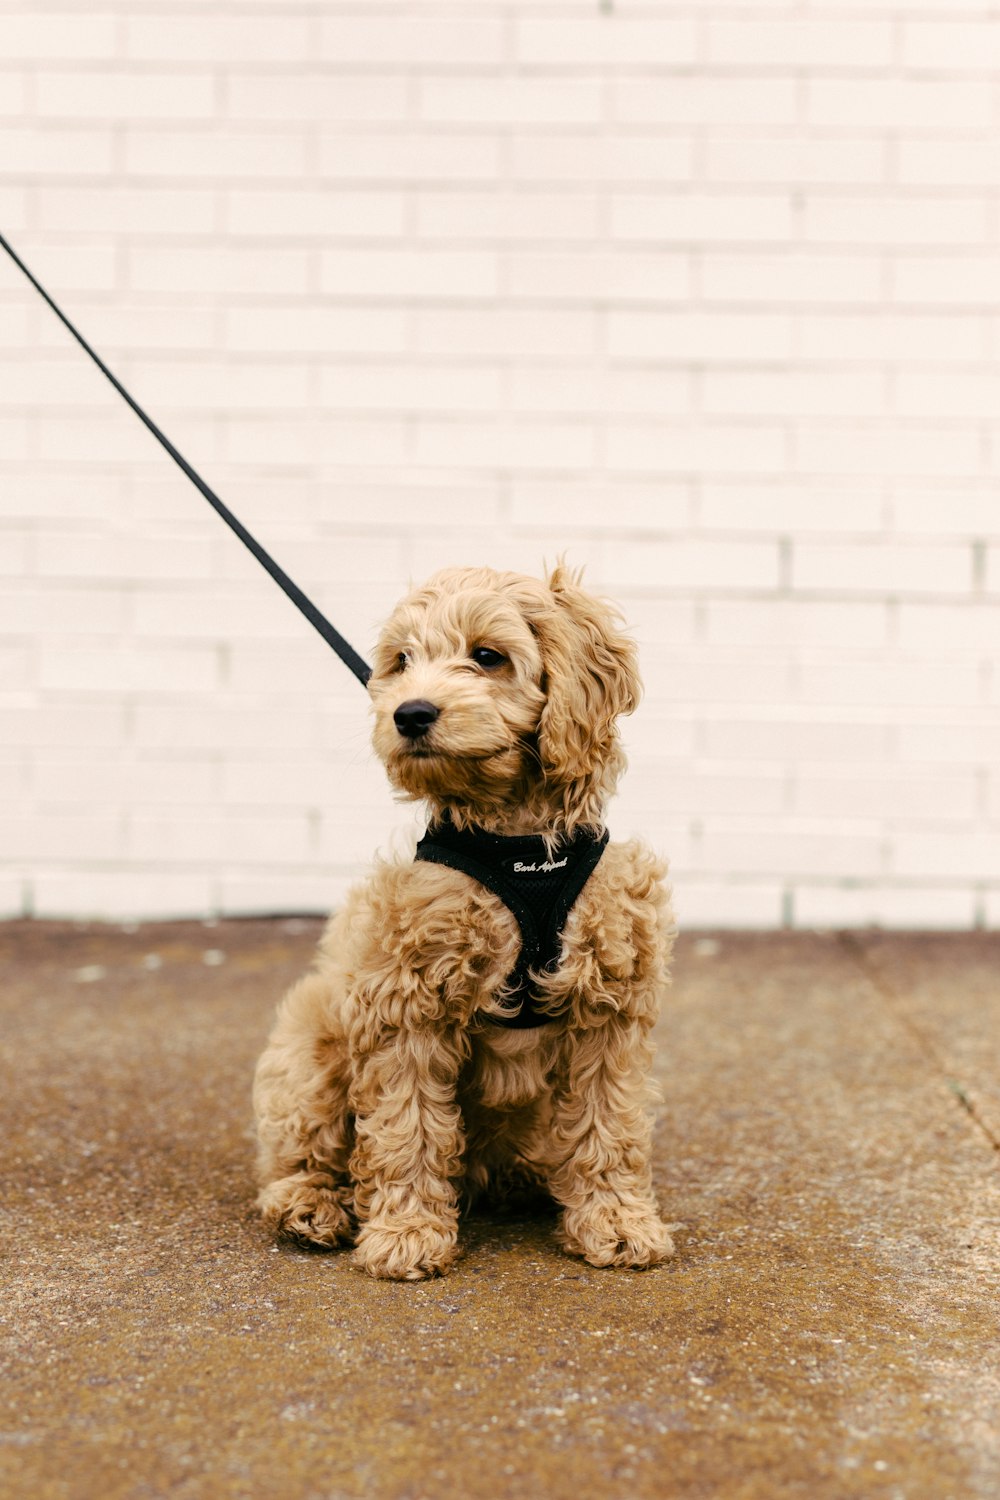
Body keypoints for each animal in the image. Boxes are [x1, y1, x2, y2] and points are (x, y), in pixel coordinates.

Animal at [254, 564, 677, 1278]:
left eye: (487, 656)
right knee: (302, 1153)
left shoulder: (606, 1007)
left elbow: (608, 1123)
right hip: (310, 1047)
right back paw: (310, 1205)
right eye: (401, 662)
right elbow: (407, 1127)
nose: (410, 714)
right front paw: (406, 1234)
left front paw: (617, 1223)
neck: (519, 844)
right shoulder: (405, 1004)